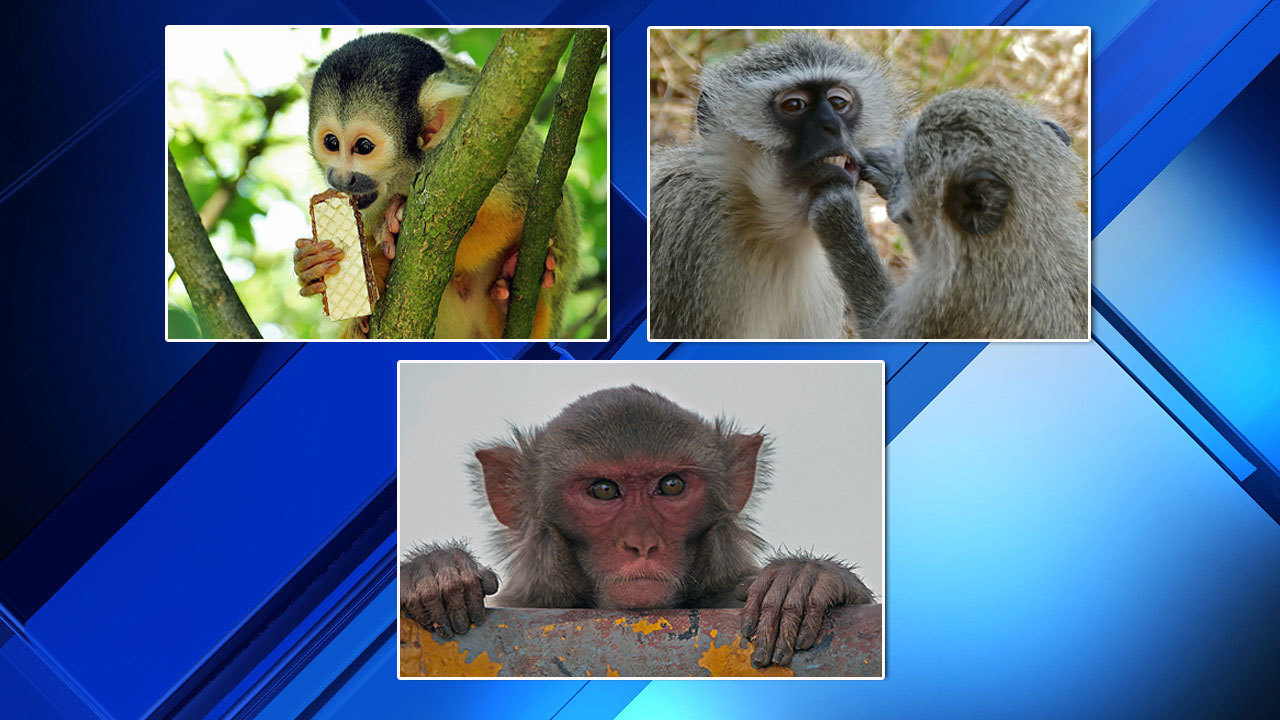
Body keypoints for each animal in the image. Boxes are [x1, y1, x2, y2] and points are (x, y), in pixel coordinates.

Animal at [291, 32, 579, 339]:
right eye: (331, 142)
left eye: (364, 147)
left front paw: (392, 225)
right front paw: (311, 265)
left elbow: (510, 216)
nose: (340, 179)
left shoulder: (488, 151)